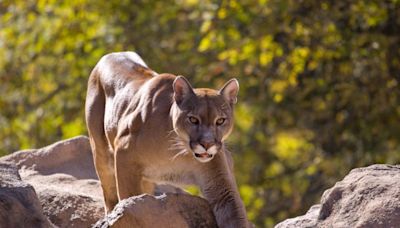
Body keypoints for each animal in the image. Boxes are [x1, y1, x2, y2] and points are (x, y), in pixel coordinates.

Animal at [86, 51, 250, 228]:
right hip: (101, 153)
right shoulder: (124, 154)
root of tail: (114, 53)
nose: (207, 144)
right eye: (193, 119)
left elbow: (233, 211)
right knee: (109, 192)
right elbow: (128, 199)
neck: (179, 150)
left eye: (220, 121)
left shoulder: (220, 183)